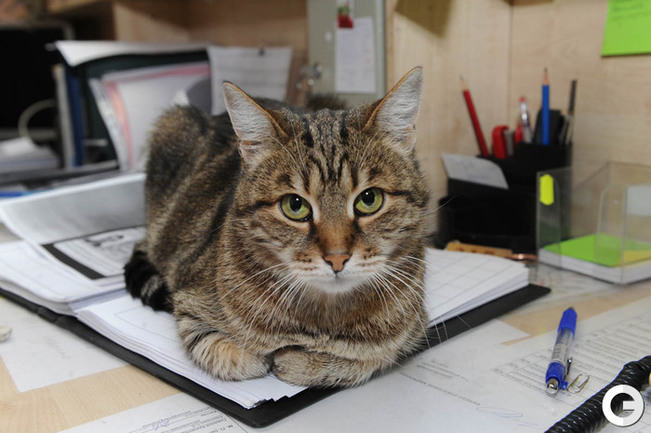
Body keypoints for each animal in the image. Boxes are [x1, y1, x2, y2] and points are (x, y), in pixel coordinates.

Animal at [124, 67, 430, 388]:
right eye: (295, 206)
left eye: (369, 199)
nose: (337, 258)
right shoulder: (189, 305)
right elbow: (233, 356)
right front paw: (269, 357)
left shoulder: (413, 331)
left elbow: (367, 359)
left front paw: (301, 360)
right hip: (171, 126)